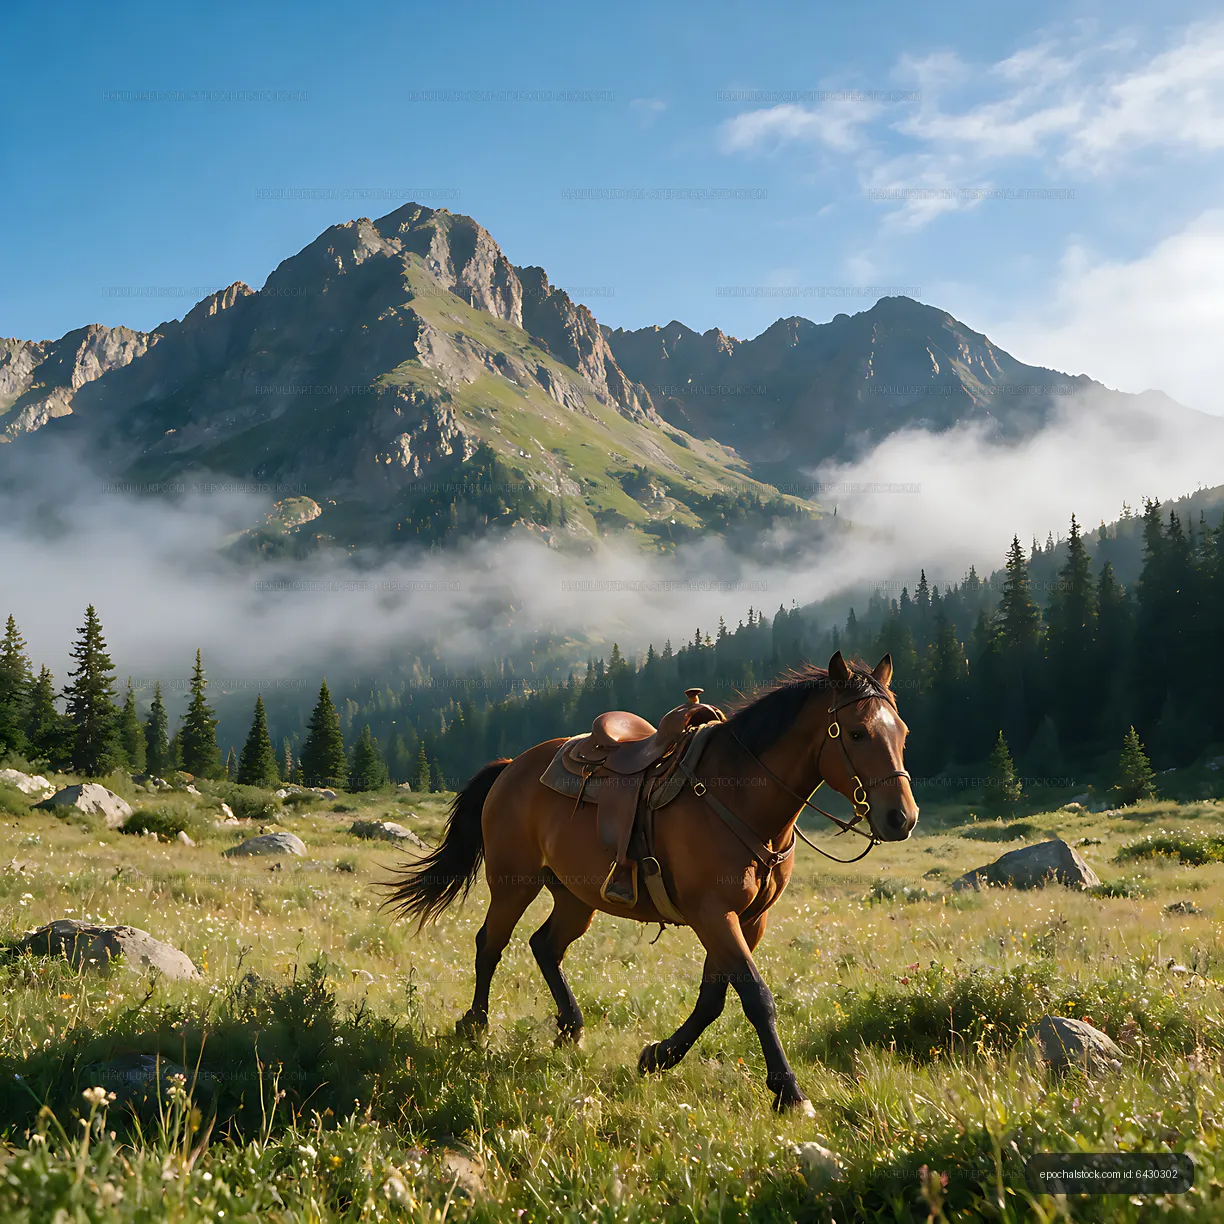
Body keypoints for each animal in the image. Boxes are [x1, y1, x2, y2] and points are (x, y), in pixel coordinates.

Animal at [384, 650, 918, 1113]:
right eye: (856, 733)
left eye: (903, 733)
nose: (902, 818)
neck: (740, 796)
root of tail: (511, 767)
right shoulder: (712, 913)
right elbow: (755, 996)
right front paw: (789, 1092)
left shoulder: (748, 919)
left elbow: (713, 998)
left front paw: (658, 1057)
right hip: (514, 882)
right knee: (490, 942)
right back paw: (474, 1025)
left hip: (575, 896)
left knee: (545, 946)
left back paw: (570, 1028)